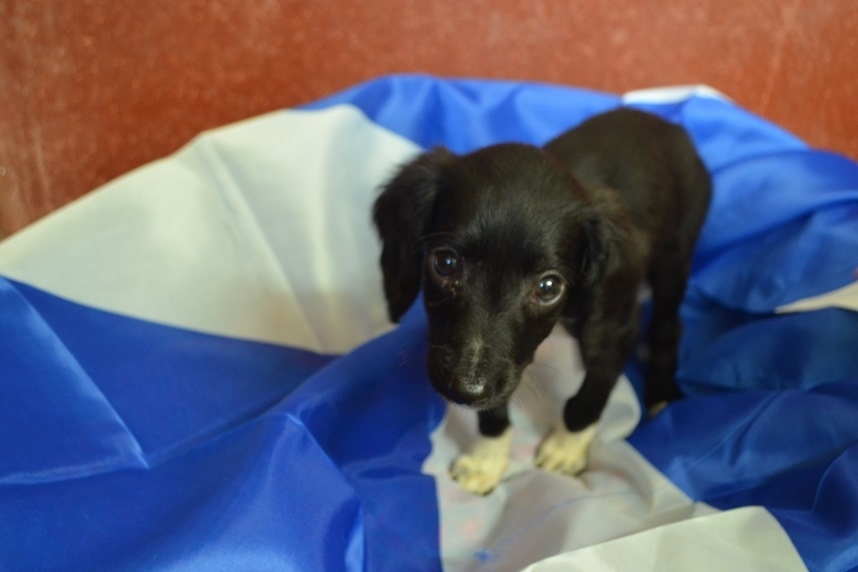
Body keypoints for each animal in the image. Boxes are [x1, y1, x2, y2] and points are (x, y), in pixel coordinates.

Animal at [372, 109, 704, 494]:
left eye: (548, 287)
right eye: (445, 262)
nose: (466, 390)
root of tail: (668, 124)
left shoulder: (613, 329)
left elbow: (589, 398)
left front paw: (566, 450)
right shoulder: (499, 369)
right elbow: (494, 409)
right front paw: (487, 459)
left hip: (674, 259)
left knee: (669, 325)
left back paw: (662, 393)